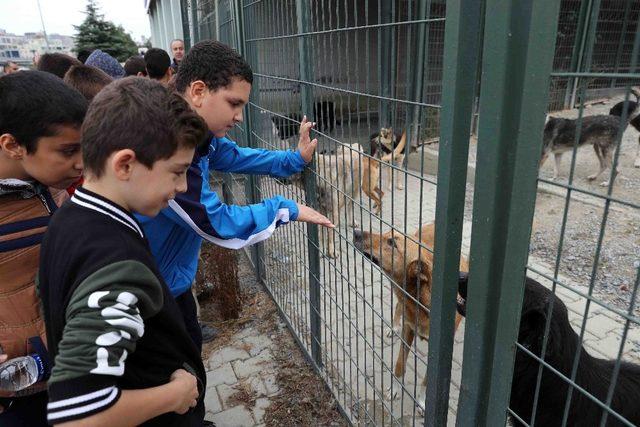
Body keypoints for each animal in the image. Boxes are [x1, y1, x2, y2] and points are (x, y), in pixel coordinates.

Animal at [350, 224, 470, 412]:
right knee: (399, 306)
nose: (355, 232)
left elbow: (427, 379)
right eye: (386, 234)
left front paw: (421, 401)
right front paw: (394, 390)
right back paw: (393, 328)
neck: (421, 302)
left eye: (391, 242)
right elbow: (399, 364)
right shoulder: (408, 330)